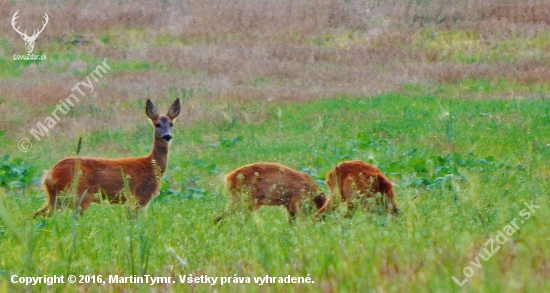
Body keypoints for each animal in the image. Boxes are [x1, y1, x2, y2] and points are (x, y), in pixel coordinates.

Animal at [33, 98, 182, 217]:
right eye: (157, 124)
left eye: (171, 124)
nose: (167, 136)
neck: (152, 166)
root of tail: (49, 174)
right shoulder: (139, 197)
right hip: (78, 196)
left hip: (56, 198)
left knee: (37, 215)